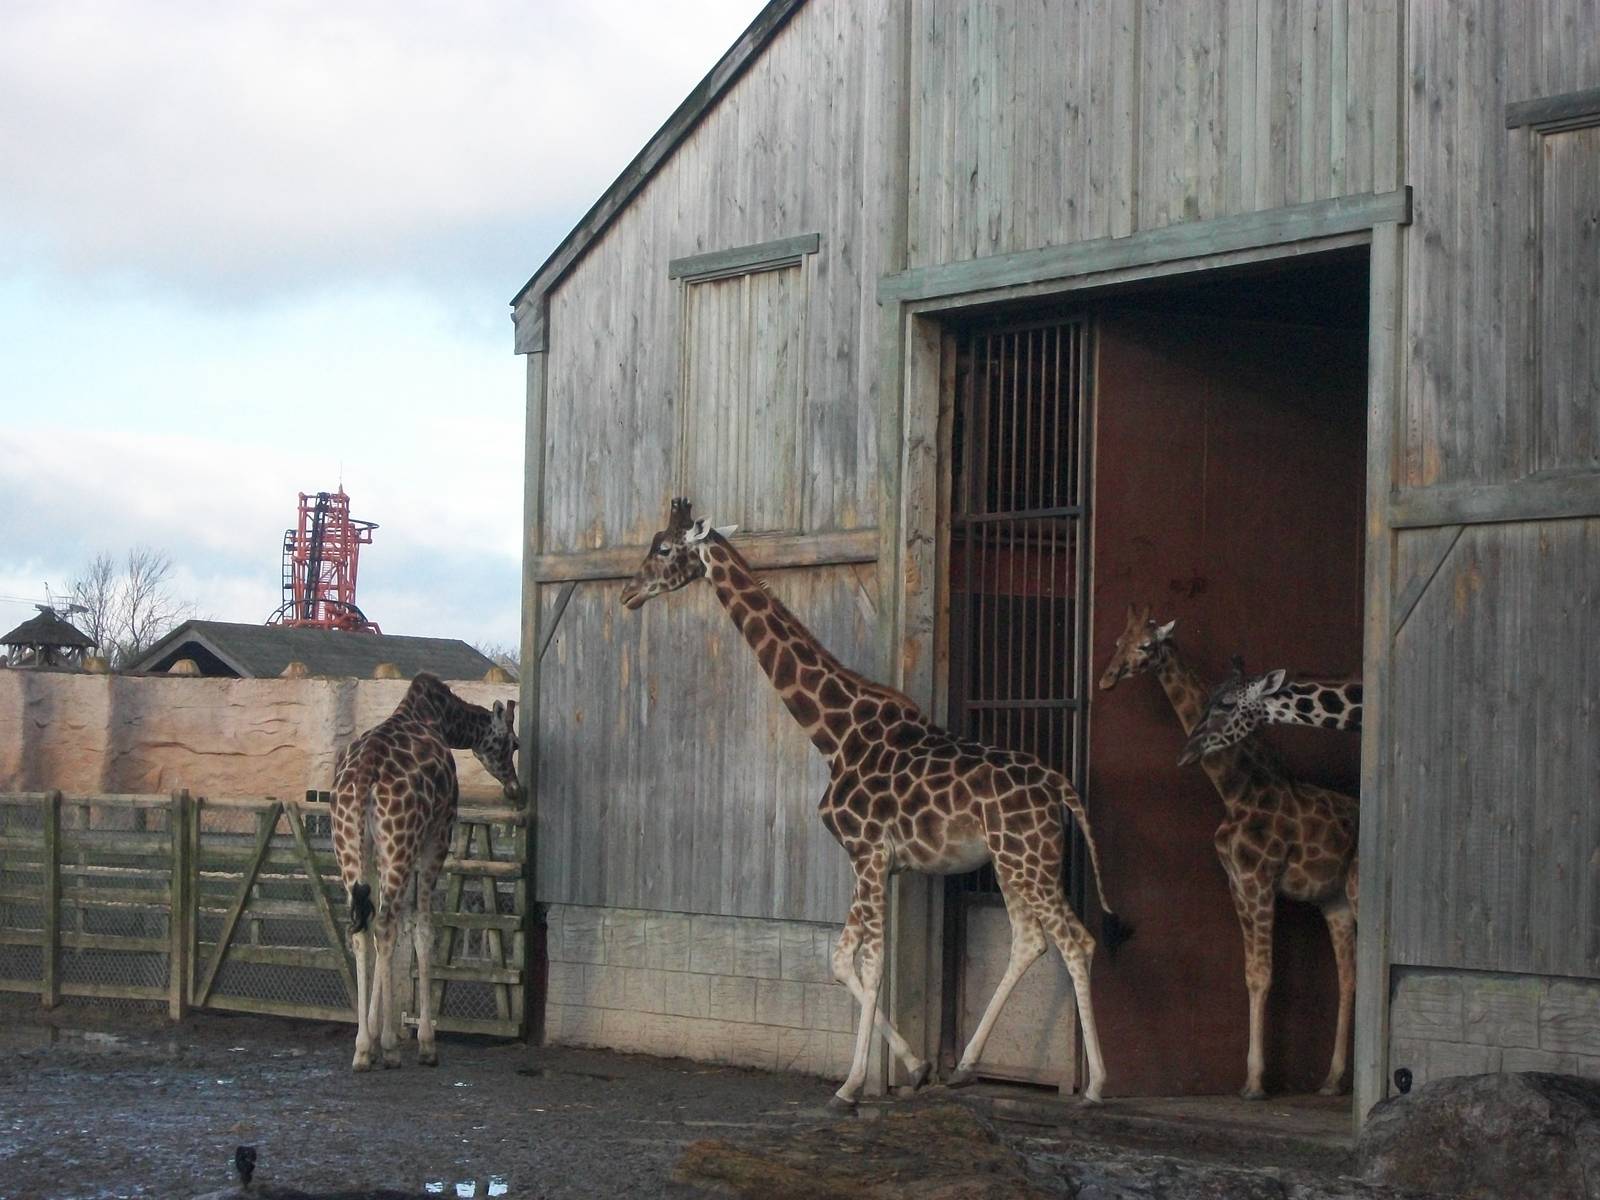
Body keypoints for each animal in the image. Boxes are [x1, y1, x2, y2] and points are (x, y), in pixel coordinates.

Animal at [330, 672, 519, 1071]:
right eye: (513, 743)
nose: (514, 787)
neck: (438, 719)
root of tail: (366, 772)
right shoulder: (437, 837)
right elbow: (423, 929)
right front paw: (424, 1042)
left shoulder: (381, 854)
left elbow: (393, 926)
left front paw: (375, 1032)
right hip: (401, 842)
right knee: (385, 925)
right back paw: (388, 1047)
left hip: (351, 847)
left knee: (363, 927)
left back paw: (362, 1048)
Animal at [621, 498, 1126, 1108]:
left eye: (664, 548)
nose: (628, 593)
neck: (834, 733)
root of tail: (1059, 785)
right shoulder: (880, 862)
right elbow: (842, 959)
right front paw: (916, 1065)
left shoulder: (867, 853)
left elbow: (870, 960)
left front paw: (851, 1084)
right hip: (1013, 863)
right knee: (1030, 941)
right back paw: (966, 1065)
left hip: (1029, 862)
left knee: (1076, 941)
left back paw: (1096, 1085)